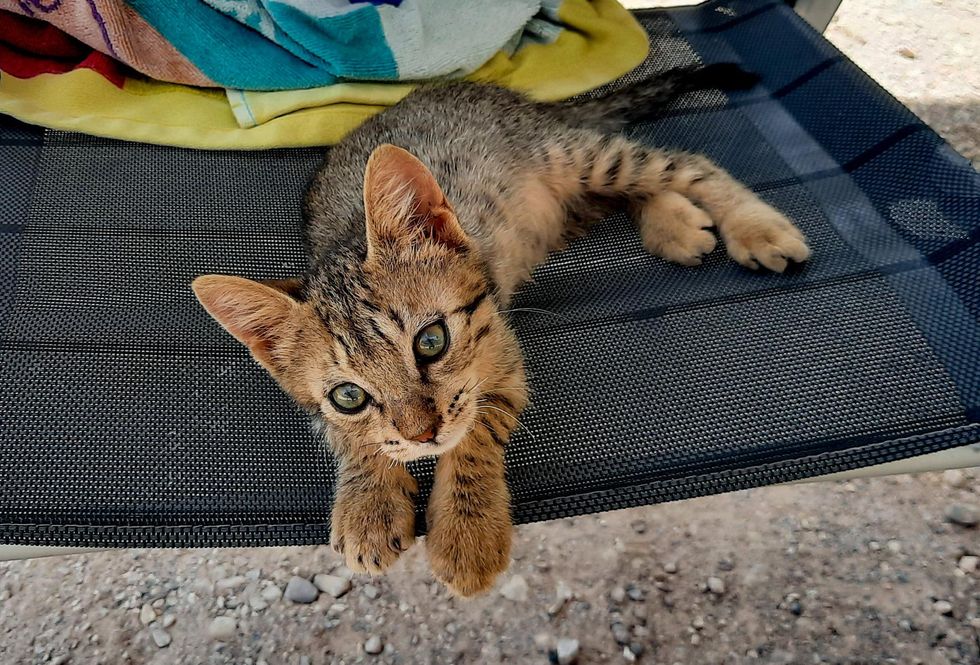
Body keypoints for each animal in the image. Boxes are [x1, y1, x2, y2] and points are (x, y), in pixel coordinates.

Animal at [193, 65, 812, 592]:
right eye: (349, 396)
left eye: (431, 341)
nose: (423, 435)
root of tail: (484, 91)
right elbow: (354, 438)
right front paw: (367, 505)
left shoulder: (502, 359)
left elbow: (474, 432)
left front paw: (467, 535)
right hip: (570, 206)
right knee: (630, 193)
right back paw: (675, 224)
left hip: (578, 157)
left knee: (684, 164)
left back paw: (755, 227)